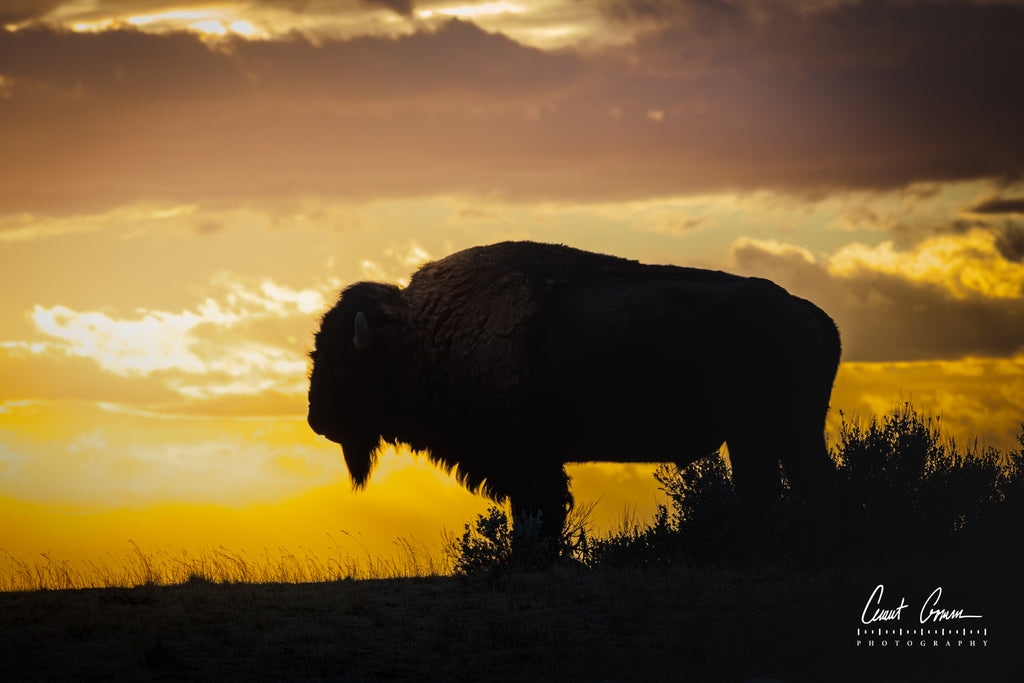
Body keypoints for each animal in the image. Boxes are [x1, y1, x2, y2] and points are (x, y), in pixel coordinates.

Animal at [308, 241, 840, 544]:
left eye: (340, 362)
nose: (316, 419)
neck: (424, 334)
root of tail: (811, 314)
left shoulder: (526, 461)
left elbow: (540, 514)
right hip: (769, 433)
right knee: (790, 483)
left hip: (767, 430)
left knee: (784, 484)